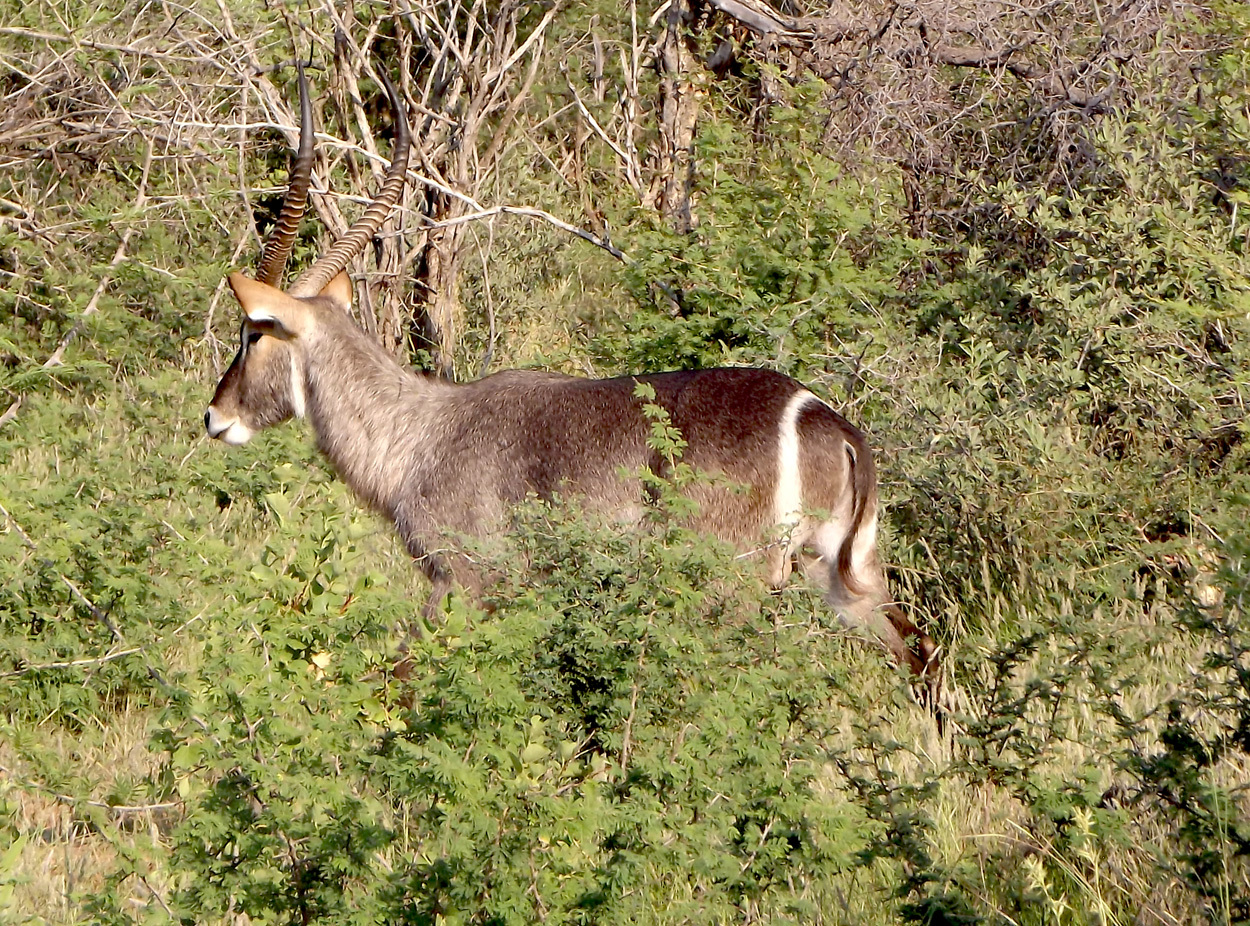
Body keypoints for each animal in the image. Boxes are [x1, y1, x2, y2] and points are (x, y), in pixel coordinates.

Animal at [205, 63, 940, 694]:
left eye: (252, 332)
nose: (215, 416)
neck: (418, 433)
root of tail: (824, 418)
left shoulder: (464, 580)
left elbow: (405, 677)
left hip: (736, 579)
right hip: (841, 570)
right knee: (917, 649)